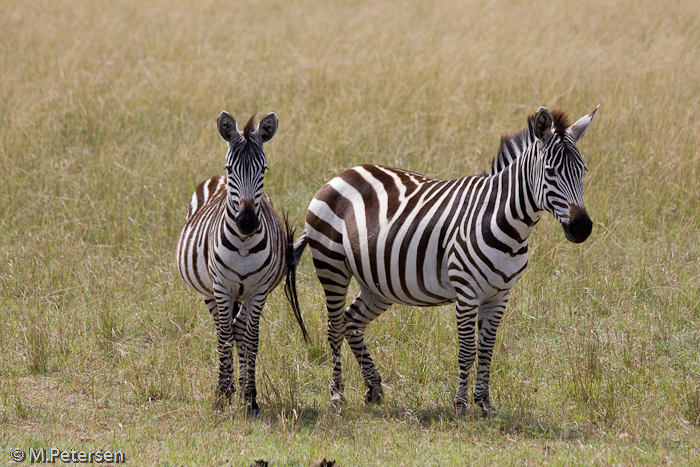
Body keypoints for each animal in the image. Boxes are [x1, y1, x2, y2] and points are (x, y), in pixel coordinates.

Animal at [176, 112, 308, 416]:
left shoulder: (258, 291)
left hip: (245, 294)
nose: (246, 222)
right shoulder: (222, 287)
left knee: (239, 330)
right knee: (223, 330)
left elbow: (250, 339)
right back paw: (225, 388)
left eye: (264, 169)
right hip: (210, 291)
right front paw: (222, 396)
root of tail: (214, 179)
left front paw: (250, 397)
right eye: (230, 168)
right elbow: (224, 337)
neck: (244, 245)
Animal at [304, 105, 600, 416]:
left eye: (583, 171)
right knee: (335, 326)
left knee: (352, 321)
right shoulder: (467, 292)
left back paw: (374, 388)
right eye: (551, 172)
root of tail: (344, 173)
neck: (507, 223)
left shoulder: (500, 295)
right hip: (332, 265)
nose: (582, 228)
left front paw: (485, 404)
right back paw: (337, 394)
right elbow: (468, 349)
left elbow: (487, 349)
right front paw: (460, 406)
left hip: (377, 282)